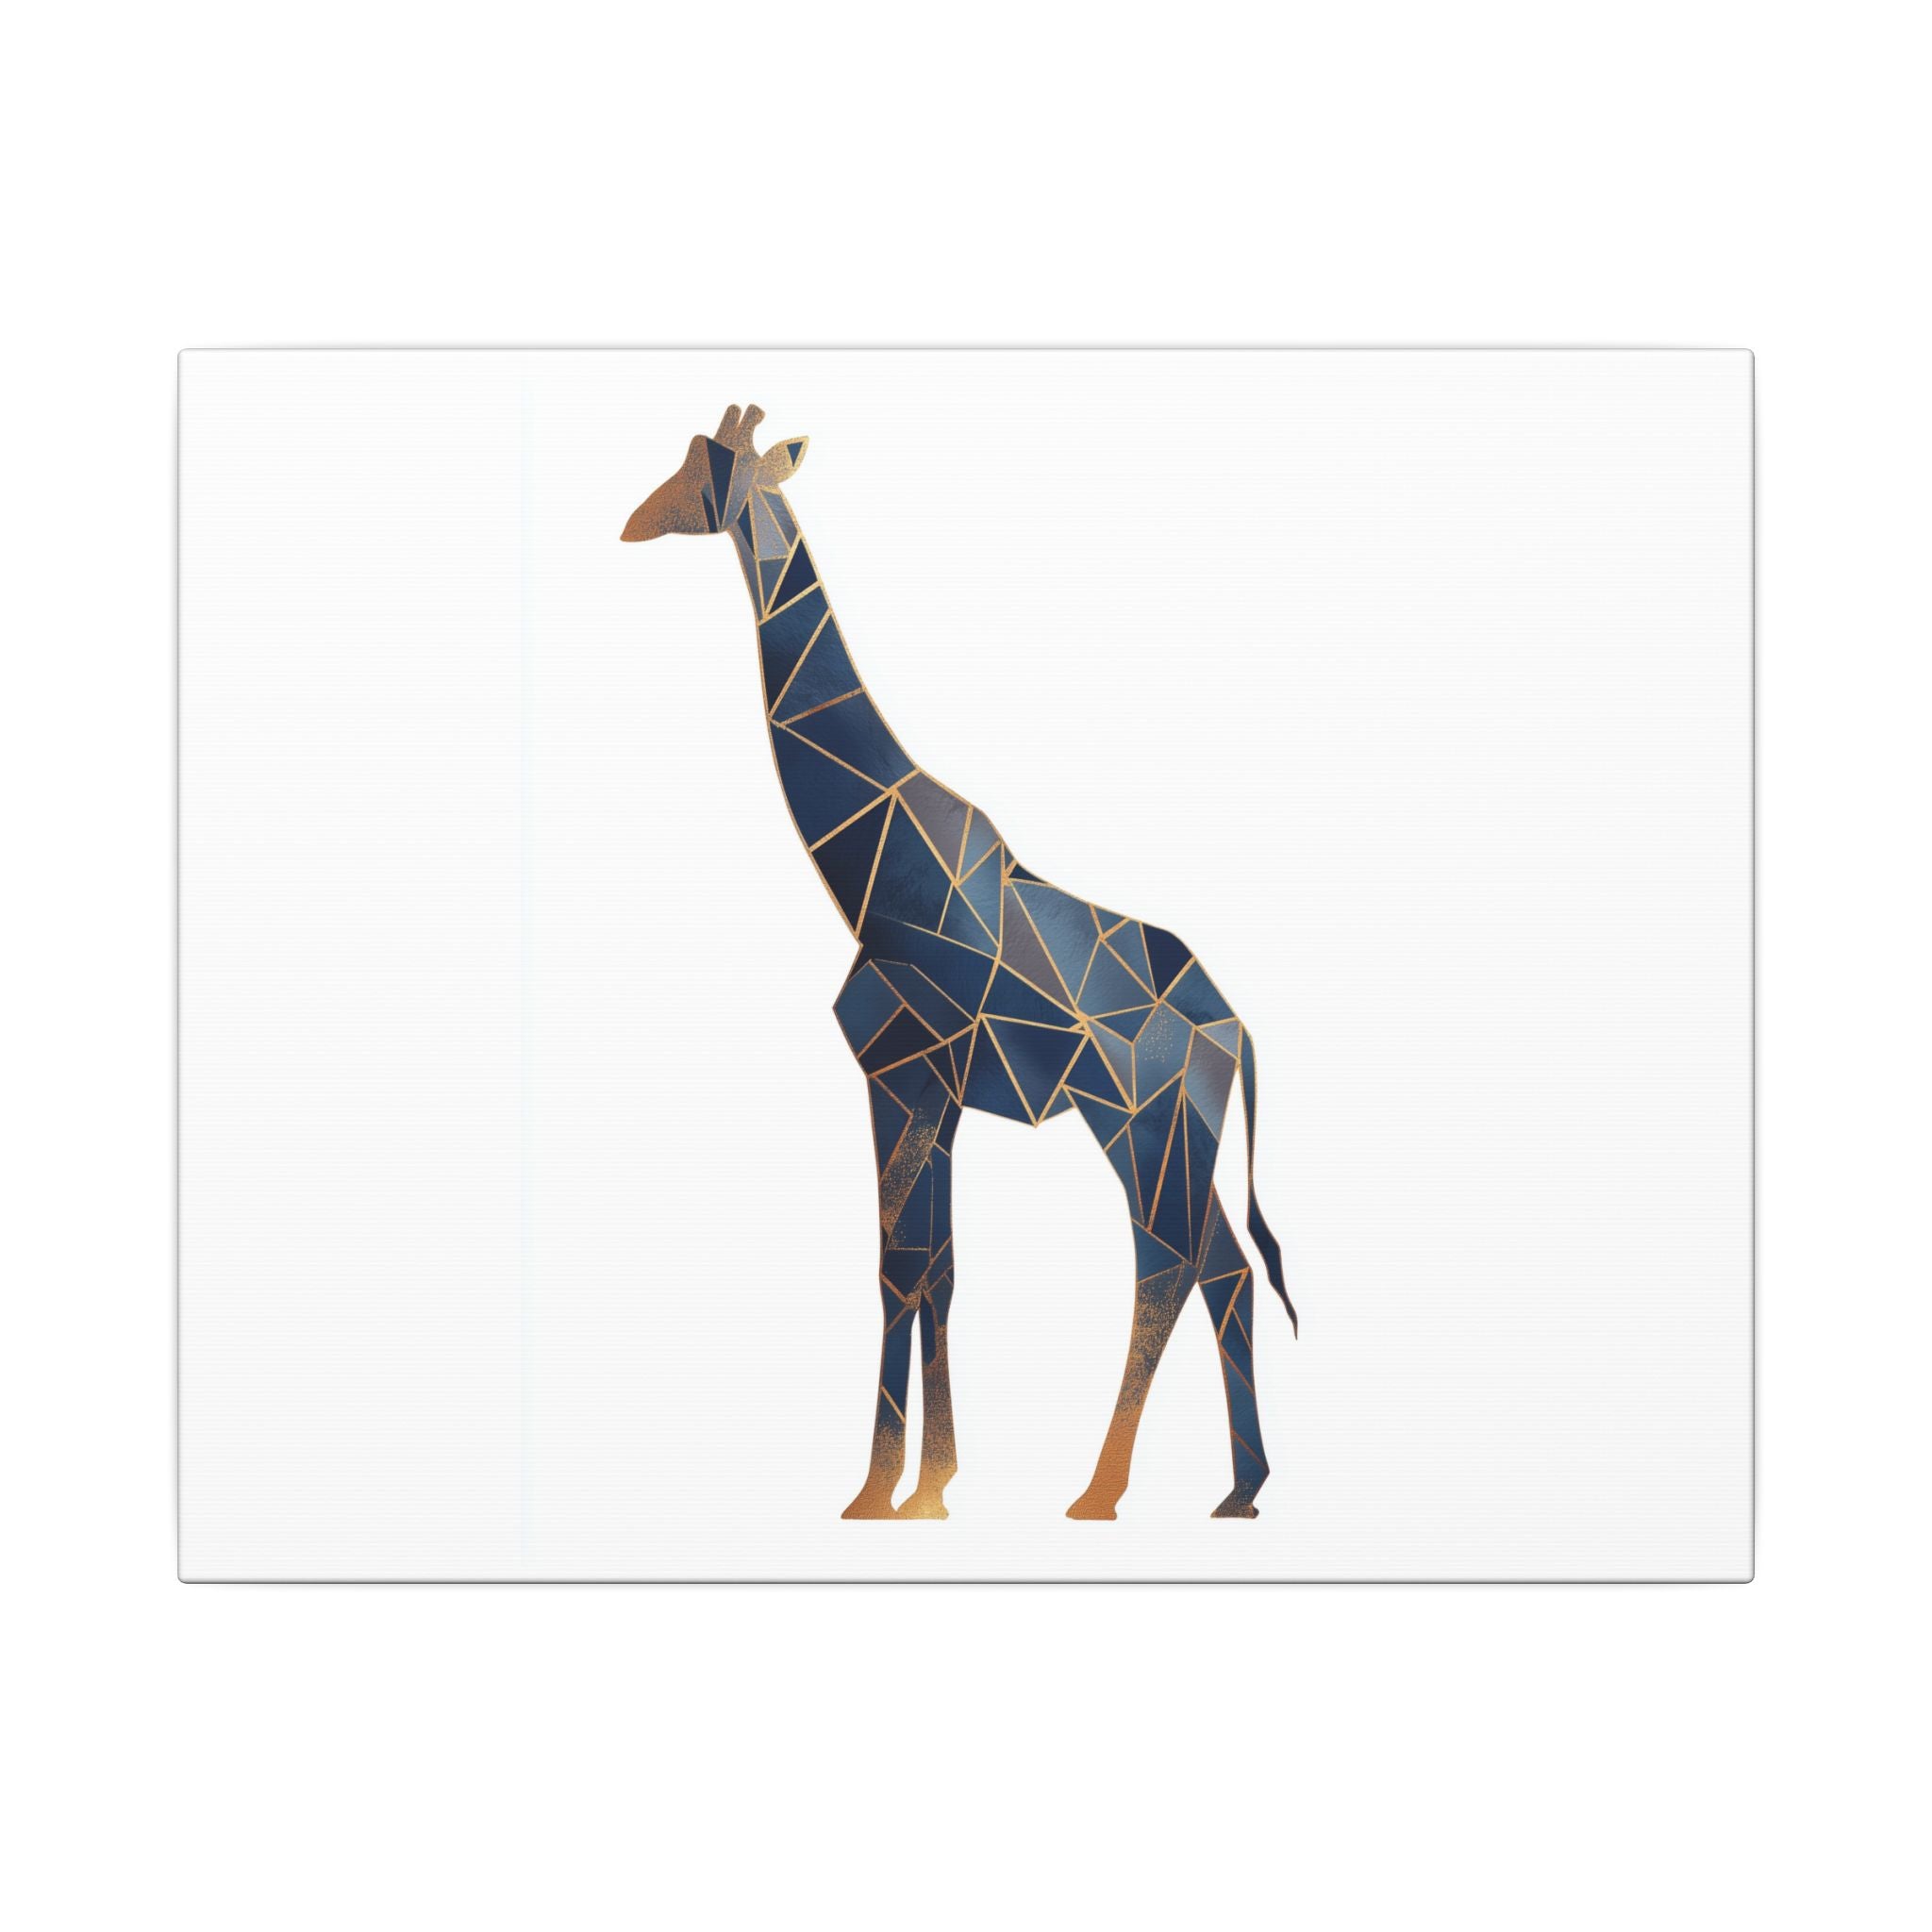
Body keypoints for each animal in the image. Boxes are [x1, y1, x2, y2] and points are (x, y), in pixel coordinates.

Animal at [622, 404, 1298, 1520]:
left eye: (708, 472)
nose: (635, 521)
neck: (871, 871)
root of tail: (1234, 1028)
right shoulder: (923, 1090)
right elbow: (927, 1267)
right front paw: (913, 1485)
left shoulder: (903, 1074)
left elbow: (904, 1267)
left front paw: (893, 1490)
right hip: (1175, 1130)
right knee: (1223, 1270)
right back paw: (1238, 1489)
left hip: (1139, 1121)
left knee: (1168, 1263)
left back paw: (1102, 1491)